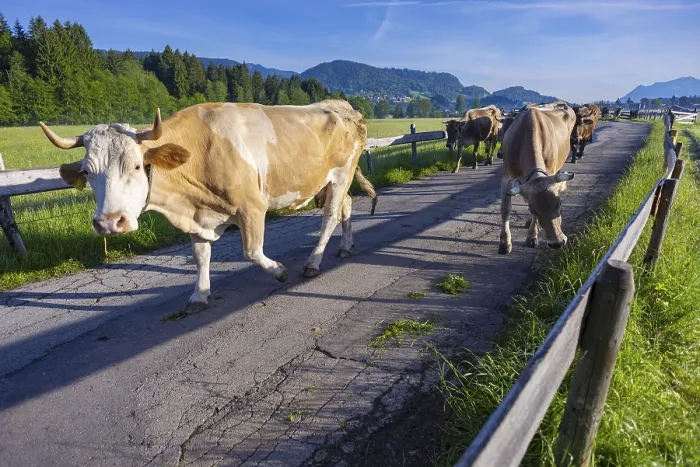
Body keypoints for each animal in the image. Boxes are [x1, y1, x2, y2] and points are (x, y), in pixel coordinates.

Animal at [39, 100, 378, 313]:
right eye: (86, 172)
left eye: (136, 166)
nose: (110, 222)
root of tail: (343, 105)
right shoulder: (197, 215)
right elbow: (201, 256)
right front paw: (199, 295)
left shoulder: (252, 206)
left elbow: (251, 252)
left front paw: (279, 271)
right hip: (330, 180)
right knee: (346, 207)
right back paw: (345, 246)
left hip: (342, 172)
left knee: (329, 217)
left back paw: (313, 262)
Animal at [497, 100, 578, 255]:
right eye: (533, 209)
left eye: (559, 203)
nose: (557, 243)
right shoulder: (507, 176)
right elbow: (505, 208)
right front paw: (505, 243)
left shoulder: (550, 170)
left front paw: (532, 236)